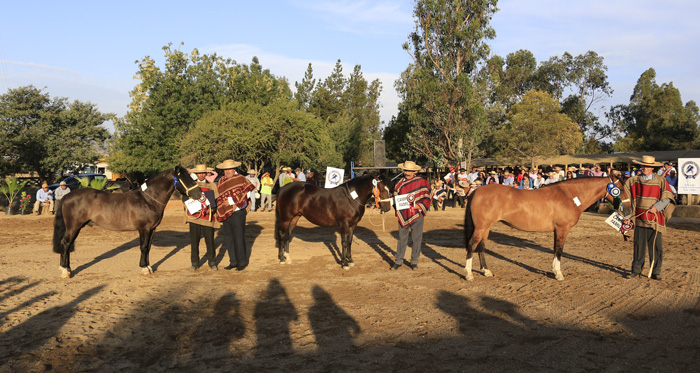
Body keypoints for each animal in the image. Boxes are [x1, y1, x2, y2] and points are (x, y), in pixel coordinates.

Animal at [51, 165, 200, 276]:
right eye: (184, 178)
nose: (199, 194)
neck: (148, 199)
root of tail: (67, 196)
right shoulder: (144, 229)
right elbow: (143, 247)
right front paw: (144, 268)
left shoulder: (152, 229)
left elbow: (148, 248)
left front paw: (149, 267)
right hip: (73, 226)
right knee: (65, 243)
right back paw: (65, 271)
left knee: (68, 245)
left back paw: (68, 268)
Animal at [464, 176, 628, 280]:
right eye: (619, 189)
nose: (627, 209)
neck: (570, 196)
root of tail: (476, 191)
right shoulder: (562, 229)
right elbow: (559, 250)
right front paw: (559, 274)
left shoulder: (557, 230)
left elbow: (555, 249)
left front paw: (554, 271)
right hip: (481, 227)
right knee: (472, 245)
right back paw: (469, 274)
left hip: (486, 227)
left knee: (481, 246)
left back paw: (486, 271)